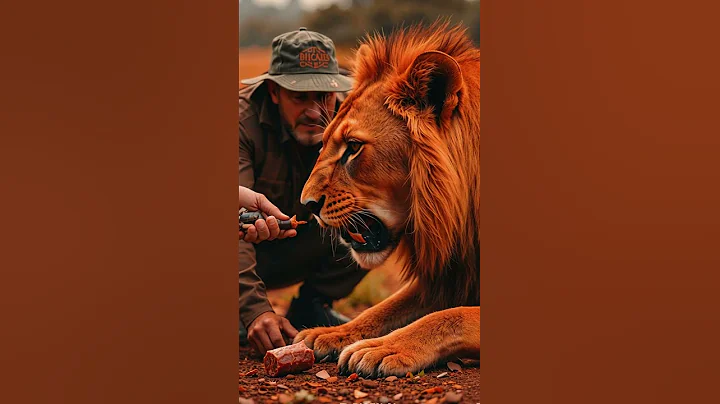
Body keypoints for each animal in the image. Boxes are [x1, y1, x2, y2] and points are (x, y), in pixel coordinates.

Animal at [295, 21, 480, 377]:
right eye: (323, 143)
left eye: (353, 147)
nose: (307, 205)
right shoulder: (449, 275)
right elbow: (380, 310)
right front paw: (329, 333)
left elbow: (450, 316)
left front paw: (381, 348)